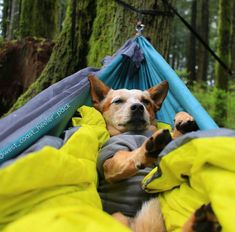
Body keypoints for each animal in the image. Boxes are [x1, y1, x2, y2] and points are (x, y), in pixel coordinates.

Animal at [87, 75, 201, 231]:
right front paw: (148, 150)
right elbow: (129, 157)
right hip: (118, 216)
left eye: (145, 101)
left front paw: (184, 119)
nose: (138, 107)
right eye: (118, 101)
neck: (139, 133)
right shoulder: (111, 161)